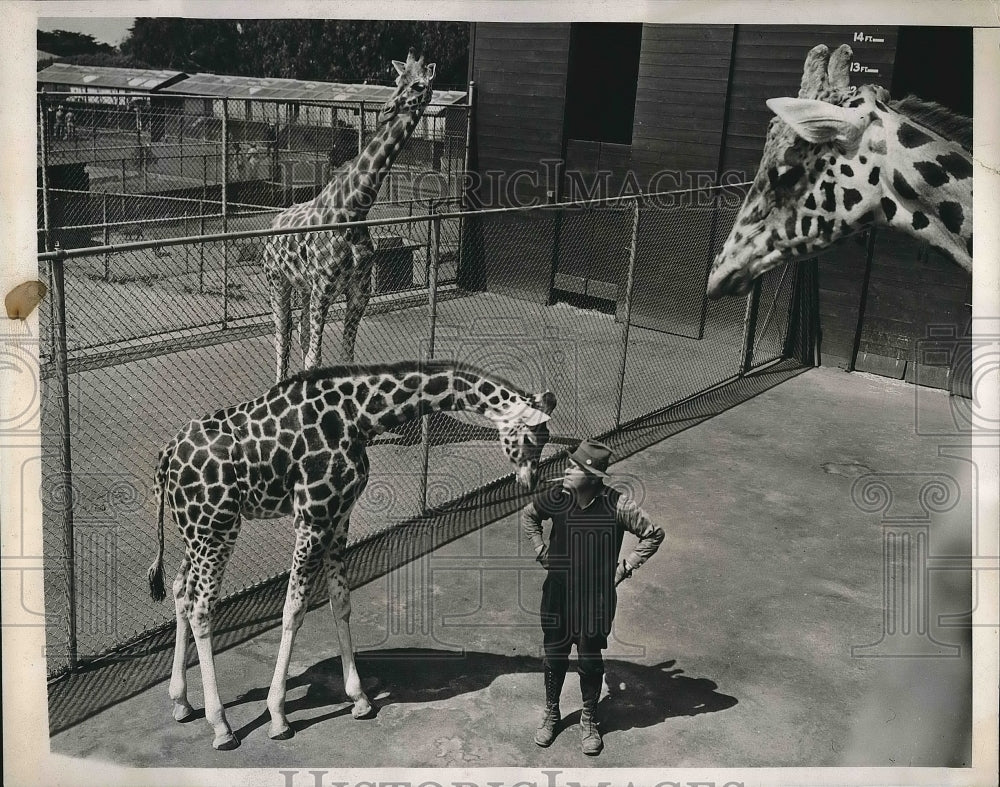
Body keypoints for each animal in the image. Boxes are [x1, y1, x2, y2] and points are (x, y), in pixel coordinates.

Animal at [146, 364, 556, 752]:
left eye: (546, 438)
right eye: (531, 437)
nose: (529, 482)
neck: (360, 415)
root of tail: (166, 457)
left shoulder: (339, 516)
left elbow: (340, 602)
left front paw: (359, 699)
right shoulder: (312, 518)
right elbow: (293, 609)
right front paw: (278, 716)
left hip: (195, 531)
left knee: (181, 591)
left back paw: (181, 702)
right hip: (216, 527)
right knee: (201, 607)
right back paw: (221, 725)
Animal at [264, 49, 436, 382]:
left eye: (419, 85)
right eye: (397, 81)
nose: (386, 110)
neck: (354, 207)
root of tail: (273, 224)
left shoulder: (359, 291)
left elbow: (346, 357)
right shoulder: (324, 289)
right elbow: (314, 359)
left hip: (303, 286)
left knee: (301, 334)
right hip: (278, 280)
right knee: (282, 338)